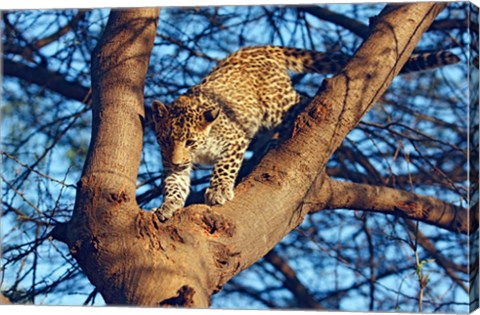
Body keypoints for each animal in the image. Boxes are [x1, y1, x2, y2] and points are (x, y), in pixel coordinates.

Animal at [150, 45, 458, 222]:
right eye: (165, 140)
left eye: (190, 141)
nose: (177, 159)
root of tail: (256, 48)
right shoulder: (174, 163)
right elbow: (174, 184)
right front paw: (167, 206)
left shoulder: (234, 139)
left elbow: (224, 167)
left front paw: (218, 191)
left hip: (275, 103)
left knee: (303, 100)